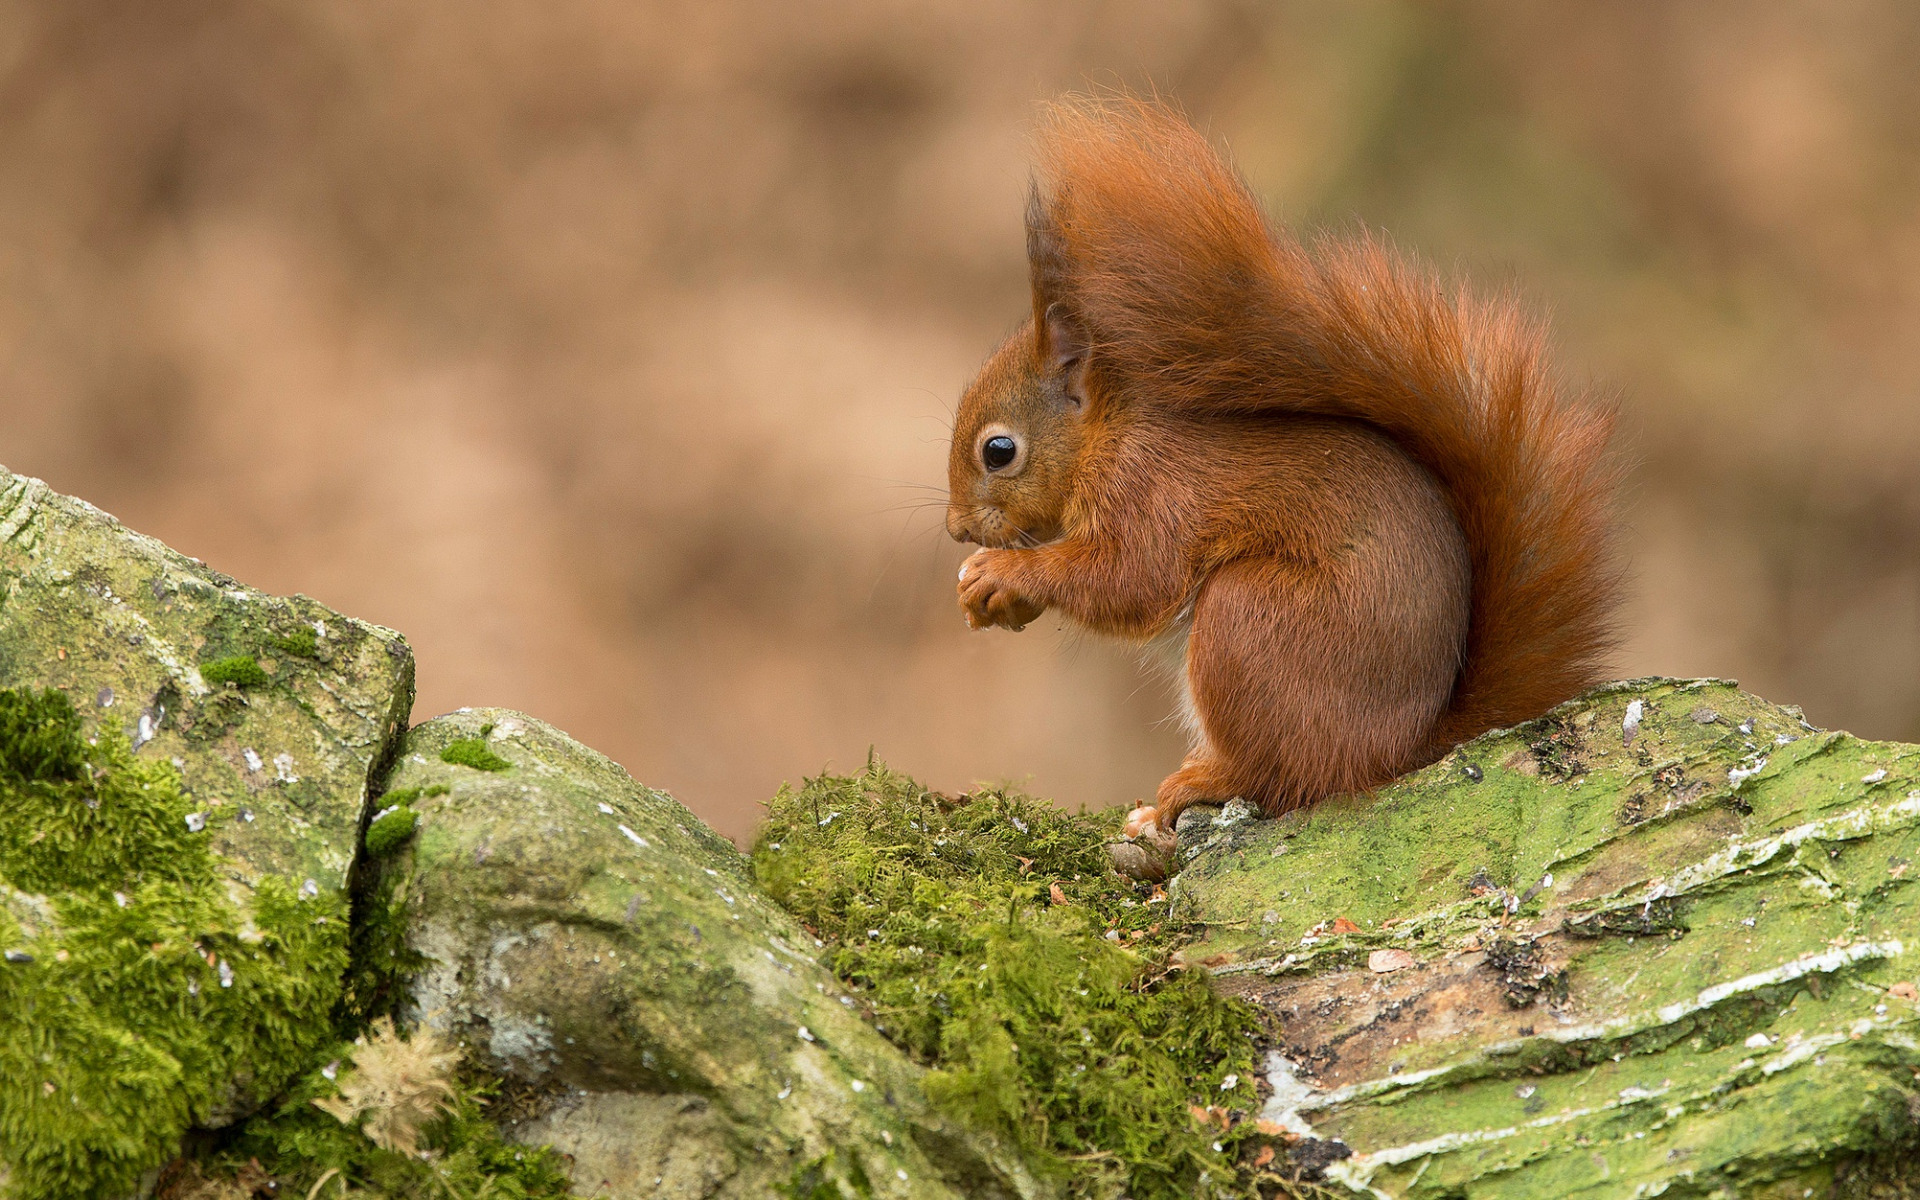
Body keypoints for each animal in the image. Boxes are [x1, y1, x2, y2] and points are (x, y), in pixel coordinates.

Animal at [944, 102, 1620, 848]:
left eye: (998, 451)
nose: (956, 529)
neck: (1105, 438)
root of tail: (1400, 750)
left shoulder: (1152, 494)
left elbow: (1129, 580)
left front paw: (1003, 573)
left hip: (1253, 622)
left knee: (1282, 775)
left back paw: (1197, 785)